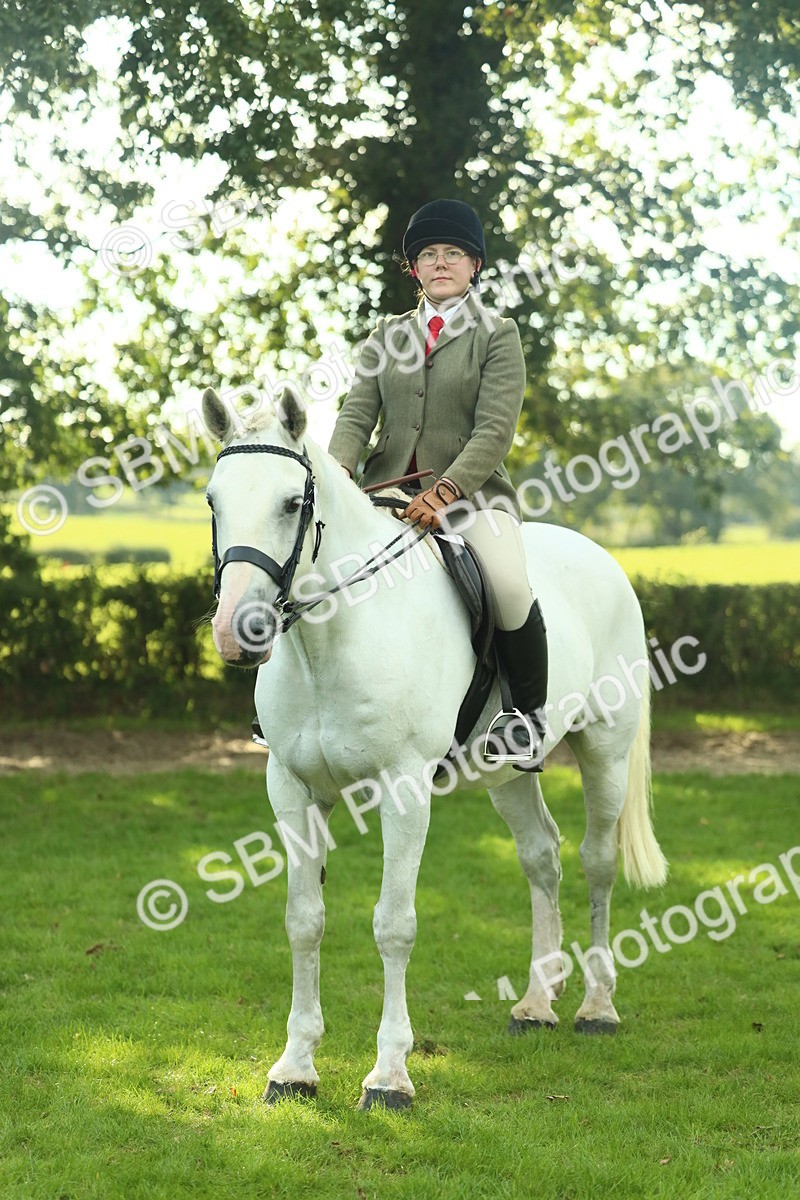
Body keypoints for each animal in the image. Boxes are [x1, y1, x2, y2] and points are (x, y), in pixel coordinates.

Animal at [201, 385, 668, 1110]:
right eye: (213, 501)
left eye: (291, 503)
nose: (238, 632)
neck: (331, 643)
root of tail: (600, 556)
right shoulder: (293, 790)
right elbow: (304, 919)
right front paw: (295, 1067)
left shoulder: (403, 790)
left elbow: (394, 924)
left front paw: (390, 1075)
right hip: (510, 772)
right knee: (542, 858)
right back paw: (537, 1003)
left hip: (606, 752)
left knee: (597, 861)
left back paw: (597, 1007)